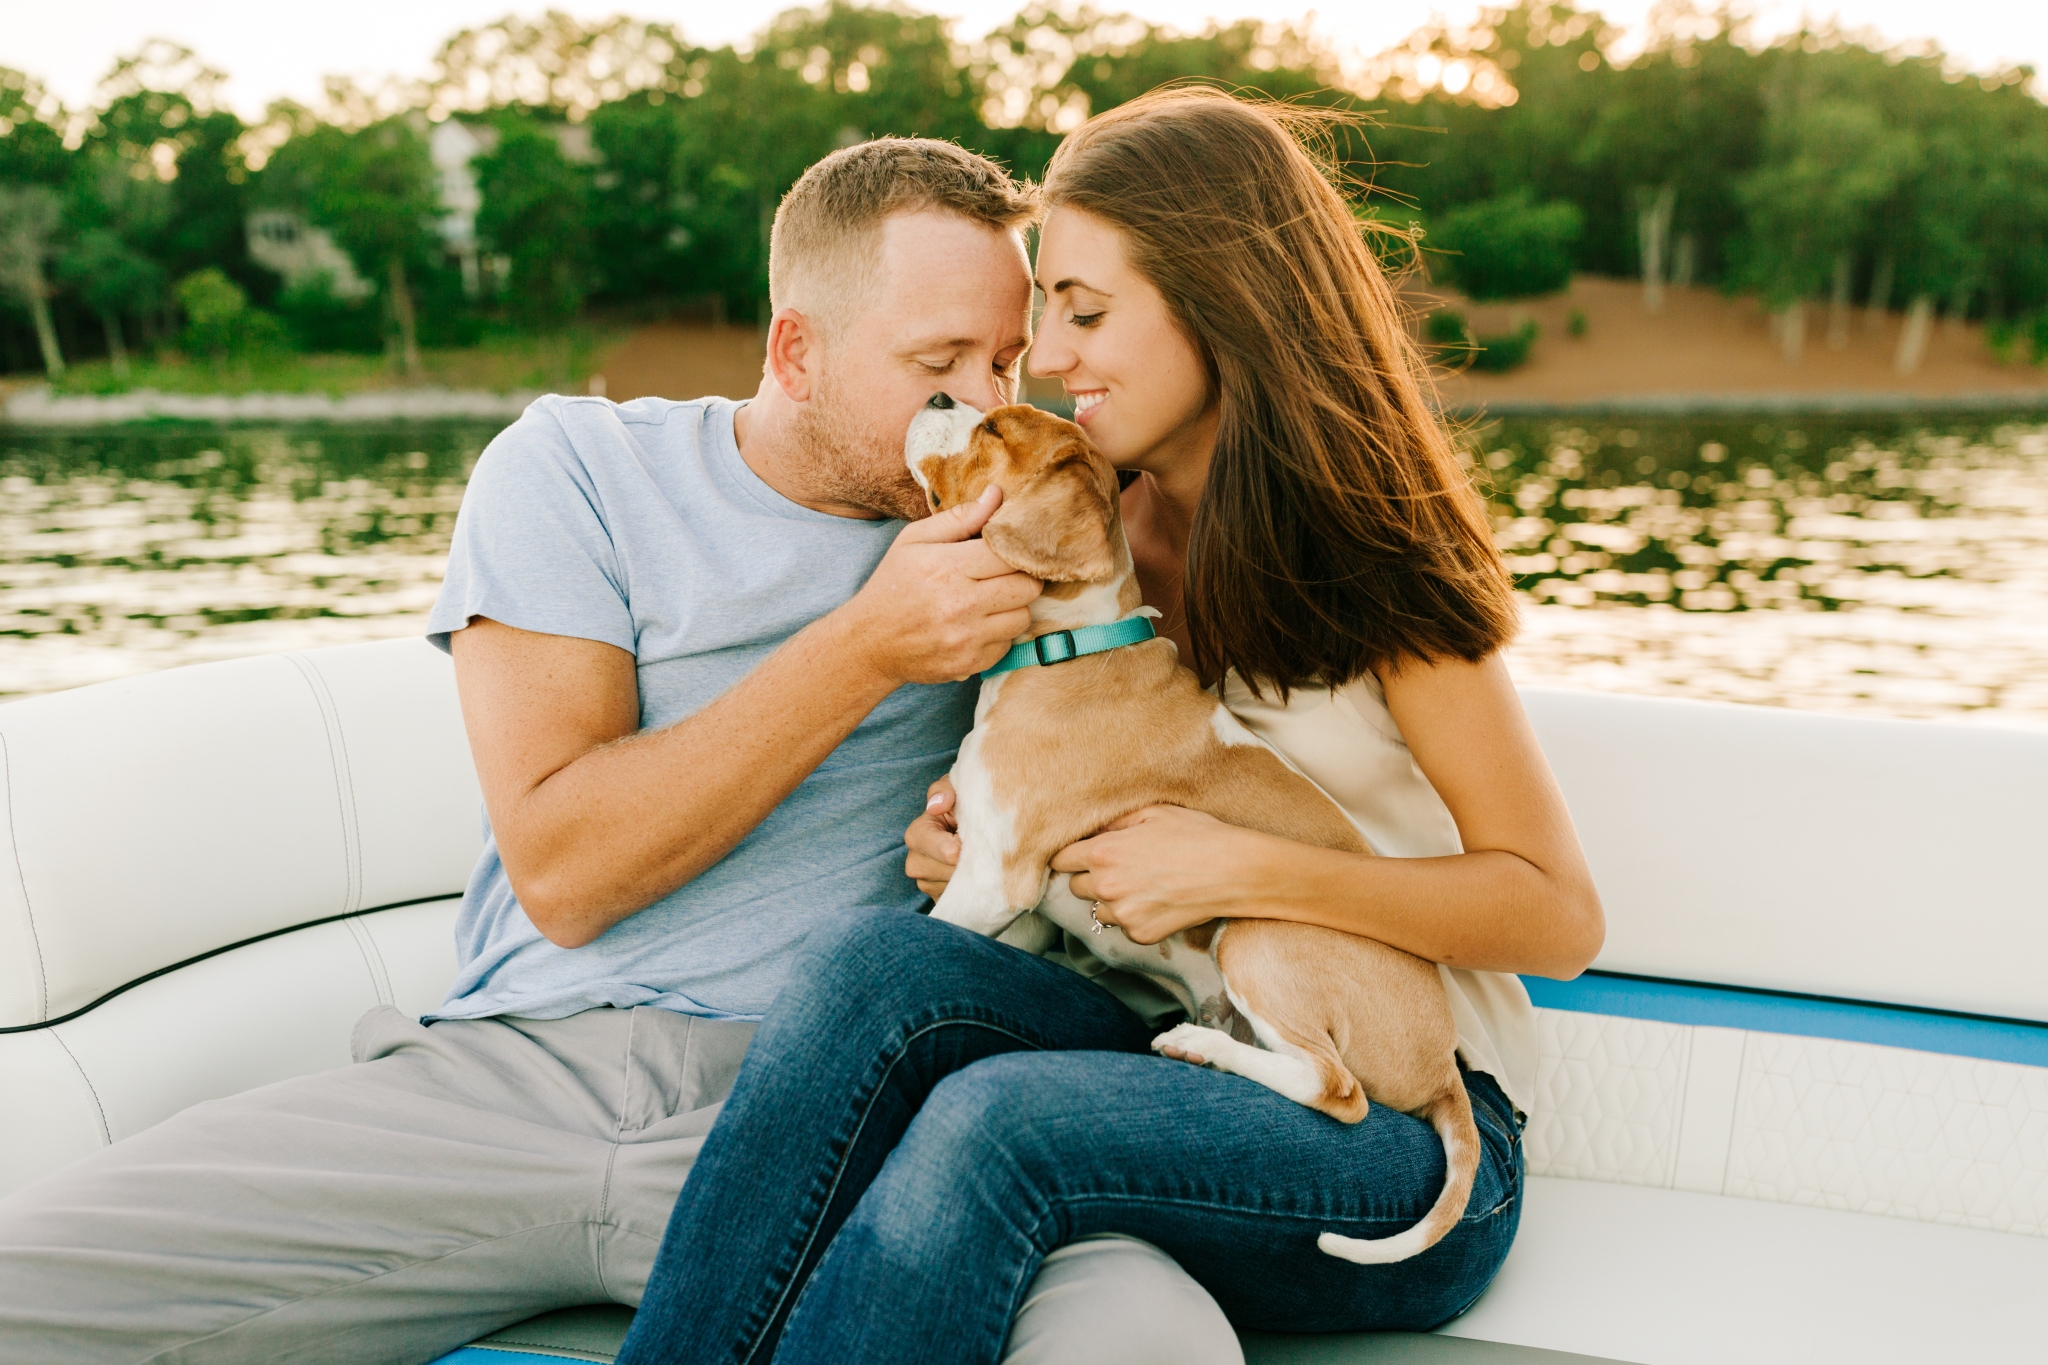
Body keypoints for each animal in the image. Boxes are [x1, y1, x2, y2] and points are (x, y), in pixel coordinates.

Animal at [909, 388, 1474, 1268]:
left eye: (995, 429)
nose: (936, 394)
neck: (1067, 647)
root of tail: (1445, 1068)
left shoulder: (992, 879)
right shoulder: (1019, 910)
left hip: (1257, 935)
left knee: (1337, 1089)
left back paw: (1200, 1049)